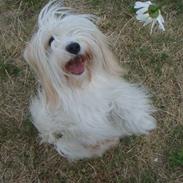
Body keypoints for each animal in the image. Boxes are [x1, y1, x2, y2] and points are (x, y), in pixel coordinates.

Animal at [24, 0, 156, 160]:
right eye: (50, 40)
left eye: (74, 30)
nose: (73, 46)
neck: (82, 84)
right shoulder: (83, 123)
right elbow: (91, 133)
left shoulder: (112, 90)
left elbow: (125, 103)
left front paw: (143, 122)